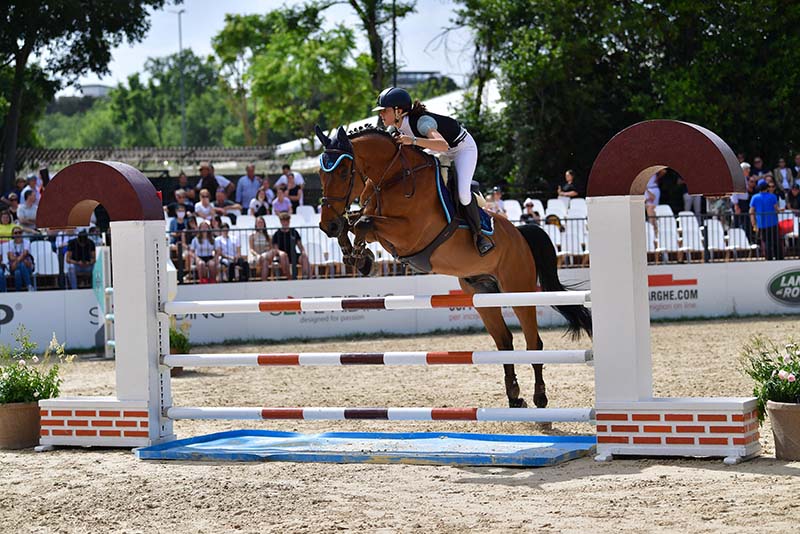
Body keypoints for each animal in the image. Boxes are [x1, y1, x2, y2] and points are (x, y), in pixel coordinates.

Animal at [316, 125, 592, 410]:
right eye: (320, 174)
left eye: (343, 171)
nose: (327, 225)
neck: (392, 178)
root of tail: (520, 234)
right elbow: (356, 222)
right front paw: (358, 256)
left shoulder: (410, 234)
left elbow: (364, 223)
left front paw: (361, 256)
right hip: (483, 295)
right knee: (505, 340)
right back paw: (515, 396)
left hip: (518, 290)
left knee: (533, 341)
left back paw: (540, 395)